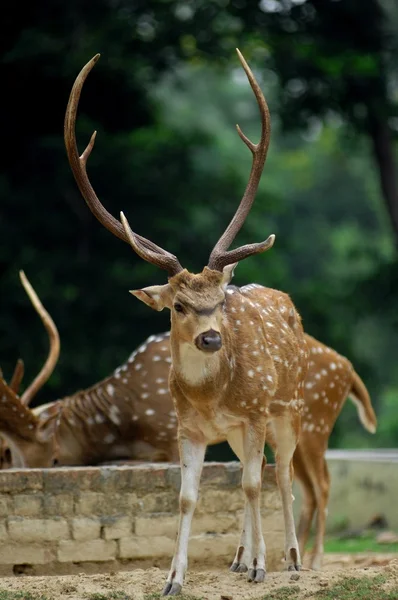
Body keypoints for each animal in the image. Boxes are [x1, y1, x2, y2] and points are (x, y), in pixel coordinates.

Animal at [0, 274, 374, 568]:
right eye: (8, 454)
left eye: (51, 458)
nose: (20, 471)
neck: (126, 416)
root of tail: (349, 369)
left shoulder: (168, 436)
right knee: (300, 483)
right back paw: (287, 557)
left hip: (313, 424)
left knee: (320, 484)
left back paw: (314, 560)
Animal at [64, 49, 314, 592]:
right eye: (178, 305)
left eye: (220, 300)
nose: (212, 337)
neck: (211, 395)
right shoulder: (189, 427)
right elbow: (187, 496)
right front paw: (174, 578)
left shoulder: (256, 411)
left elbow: (254, 485)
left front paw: (262, 568)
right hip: (242, 431)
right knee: (255, 474)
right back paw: (240, 557)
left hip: (290, 407)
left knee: (280, 475)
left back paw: (288, 558)